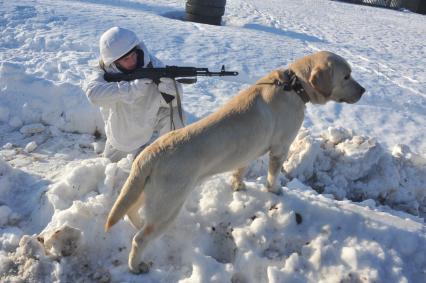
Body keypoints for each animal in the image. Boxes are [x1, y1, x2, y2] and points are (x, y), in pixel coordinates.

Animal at [105, 50, 364, 272]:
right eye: (346, 75)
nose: (363, 90)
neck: (294, 85)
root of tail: (149, 153)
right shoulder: (281, 147)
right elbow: (274, 175)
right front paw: (275, 190)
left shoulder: (248, 150)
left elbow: (240, 170)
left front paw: (238, 186)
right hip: (168, 205)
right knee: (140, 238)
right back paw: (136, 266)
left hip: (145, 191)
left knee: (131, 212)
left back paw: (138, 225)